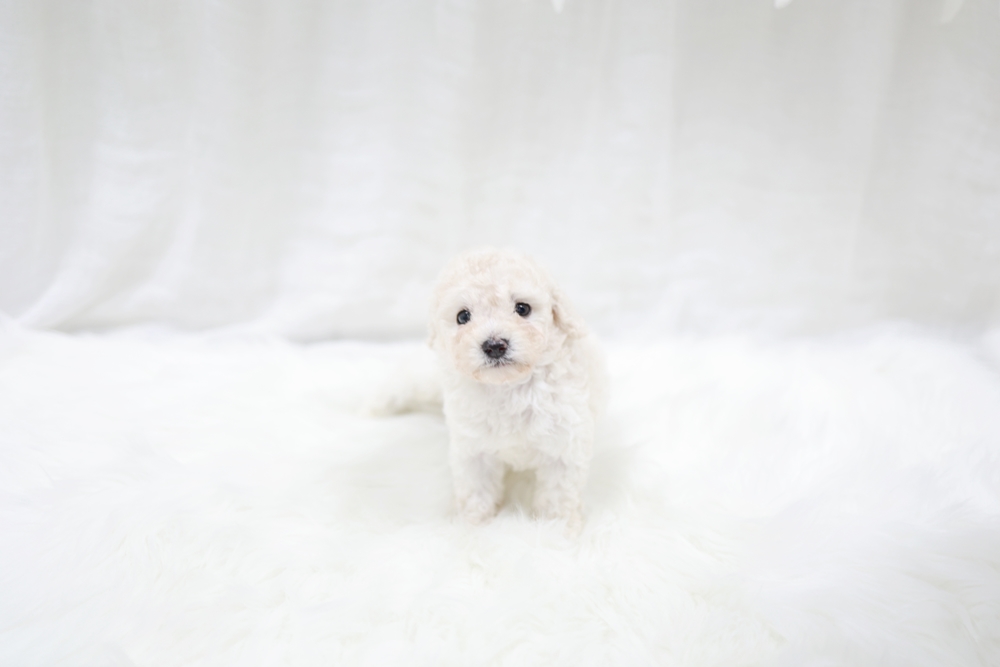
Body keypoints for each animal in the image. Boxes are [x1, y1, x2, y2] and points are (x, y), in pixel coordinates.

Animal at [427, 248, 606, 531]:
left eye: (523, 308)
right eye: (462, 316)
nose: (494, 345)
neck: (509, 386)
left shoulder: (564, 446)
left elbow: (558, 493)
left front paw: (558, 530)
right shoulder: (472, 449)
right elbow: (476, 489)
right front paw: (471, 525)